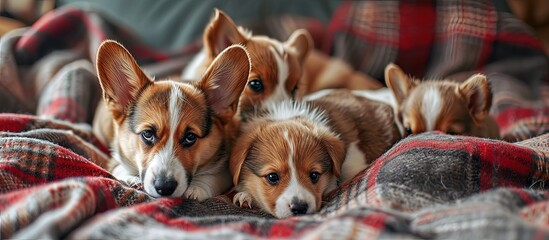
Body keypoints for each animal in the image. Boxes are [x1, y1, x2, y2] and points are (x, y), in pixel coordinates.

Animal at [92, 40, 250, 200]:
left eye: (190, 137)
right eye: (147, 134)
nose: (164, 187)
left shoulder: (225, 169)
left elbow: (214, 177)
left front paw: (197, 188)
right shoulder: (115, 159)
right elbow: (119, 168)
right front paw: (132, 179)